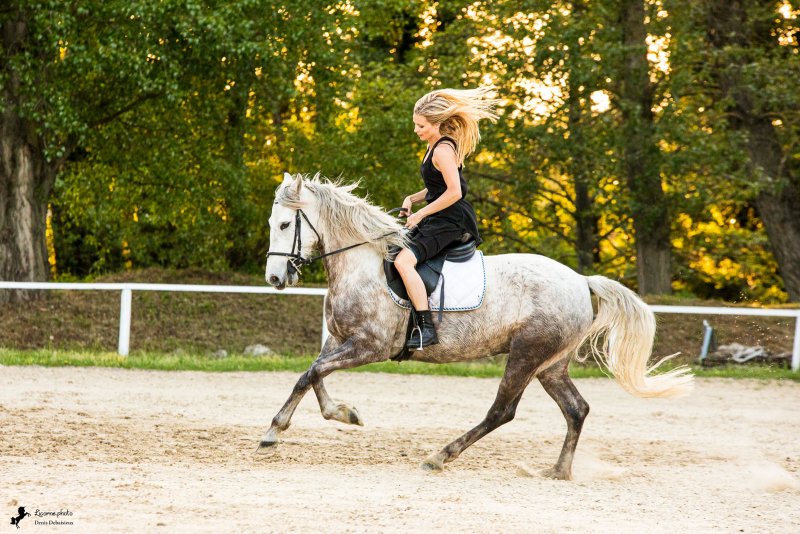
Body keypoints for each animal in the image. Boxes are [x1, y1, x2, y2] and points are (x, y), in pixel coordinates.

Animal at [261, 172, 693, 479]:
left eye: (283, 225)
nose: (275, 278)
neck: (361, 265)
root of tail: (581, 281)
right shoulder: (338, 339)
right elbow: (313, 375)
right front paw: (344, 413)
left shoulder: (370, 347)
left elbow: (310, 374)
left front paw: (273, 432)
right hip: (551, 364)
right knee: (576, 409)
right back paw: (558, 471)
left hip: (526, 355)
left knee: (502, 412)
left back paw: (439, 457)